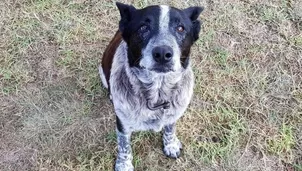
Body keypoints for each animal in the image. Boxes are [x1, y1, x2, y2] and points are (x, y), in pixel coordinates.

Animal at [100, 2, 204, 170]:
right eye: (143, 27)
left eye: (180, 28)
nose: (162, 53)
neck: (157, 93)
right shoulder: (123, 122)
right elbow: (124, 145)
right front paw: (124, 164)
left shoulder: (173, 113)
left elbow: (170, 128)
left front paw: (171, 145)